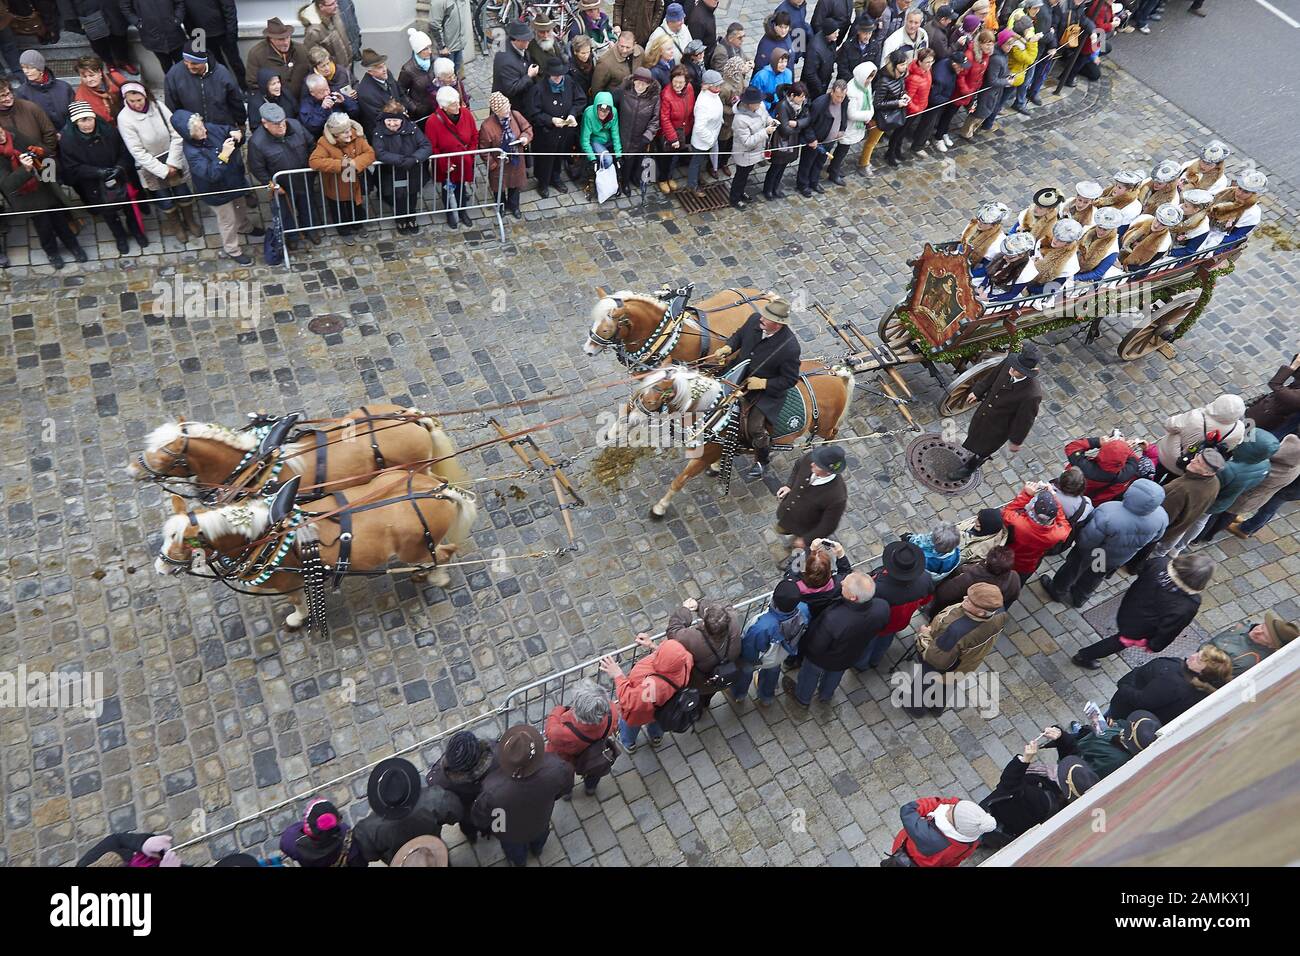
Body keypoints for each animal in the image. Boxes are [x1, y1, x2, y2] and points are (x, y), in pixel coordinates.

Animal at [153, 473, 478, 634]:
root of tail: (440, 491)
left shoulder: (288, 582)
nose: (160, 567)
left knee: (442, 554)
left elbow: (297, 602)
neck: (267, 534)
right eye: (167, 535)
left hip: (417, 548)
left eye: (183, 541)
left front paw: (297, 620)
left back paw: (436, 577)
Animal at [618, 364, 852, 515]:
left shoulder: (702, 457)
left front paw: (660, 507)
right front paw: (715, 467)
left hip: (825, 426)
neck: (715, 411)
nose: (631, 419)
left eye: (650, 399)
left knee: (832, 433)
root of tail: (837, 377)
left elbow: (679, 480)